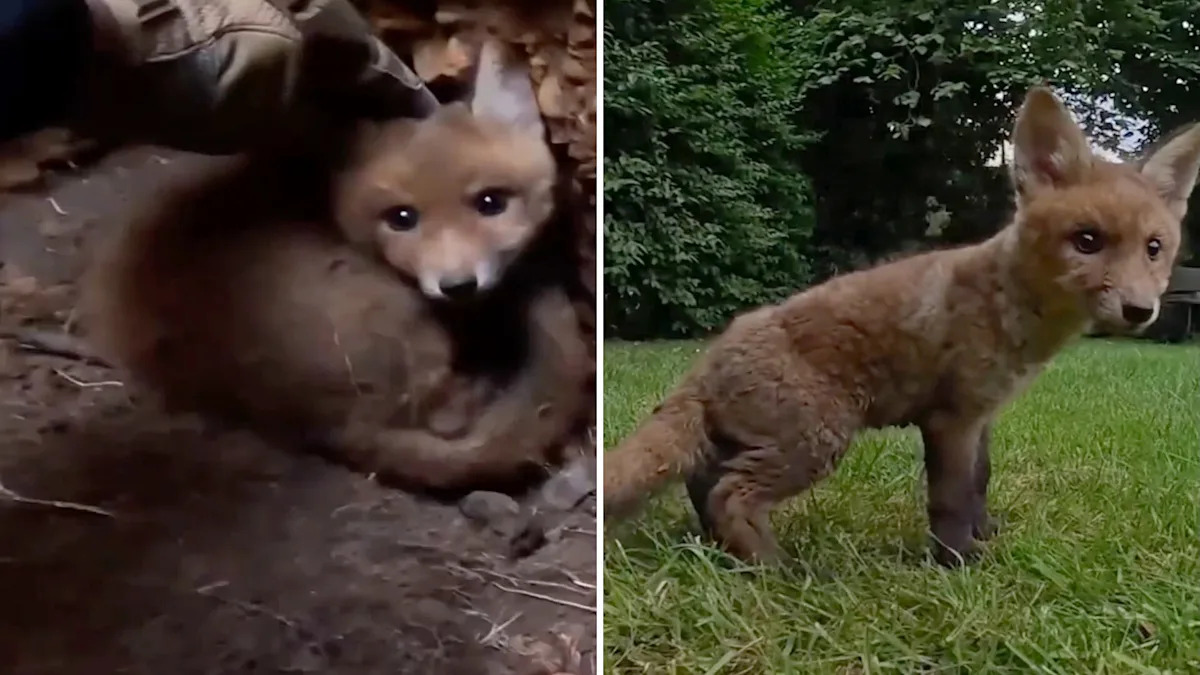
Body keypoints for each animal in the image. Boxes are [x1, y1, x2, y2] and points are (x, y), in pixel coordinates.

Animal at [603, 86, 1200, 567]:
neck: (1010, 308)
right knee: (729, 495)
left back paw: (725, 553)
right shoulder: (950, 418)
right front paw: (959, 565)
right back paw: (776, 569)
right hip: (815, 441)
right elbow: (951, 500)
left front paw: (986, 537)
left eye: (1154, 248)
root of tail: (708, 358)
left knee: (702, 486)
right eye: (1087, 241)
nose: (1140, 311)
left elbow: (980, 485)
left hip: (753, 442)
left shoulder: (981, 416)